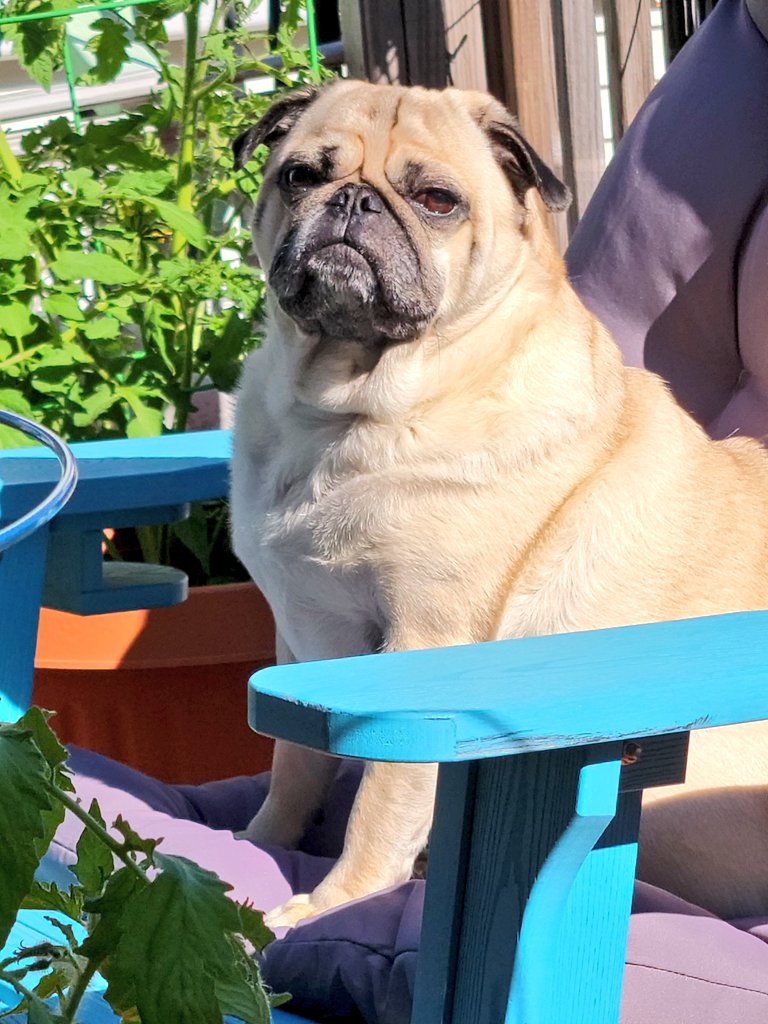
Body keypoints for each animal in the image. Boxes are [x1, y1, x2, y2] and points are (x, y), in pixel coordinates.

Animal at [231, 79, 768, 929]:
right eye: (301, 176)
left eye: (436, 200)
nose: (352, 200)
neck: (342, 414)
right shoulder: (302, 643)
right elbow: (294, 765)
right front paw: (258, 840)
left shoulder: (424, 644)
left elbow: (380, 798)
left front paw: (332, 902)